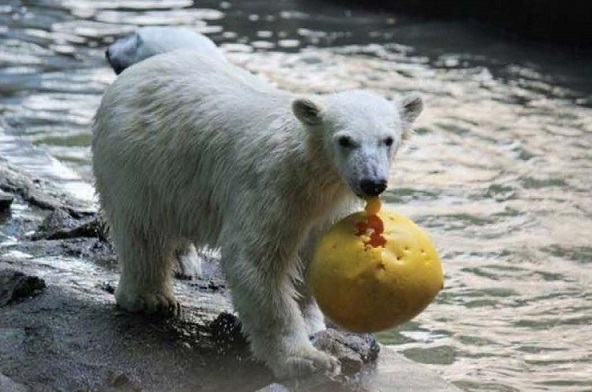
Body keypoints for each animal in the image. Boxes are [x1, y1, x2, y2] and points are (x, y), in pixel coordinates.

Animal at [92, 47, 424, 378]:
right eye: (345, 140)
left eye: (388, 139)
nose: (372, 182)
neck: (312, 173)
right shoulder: (272, 189)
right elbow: (256, 261)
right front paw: (307, 360)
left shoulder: (327, 209)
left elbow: (314, 256)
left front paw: (312, 322)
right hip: (138, 159)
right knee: (143, 229)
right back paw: (150, 297)